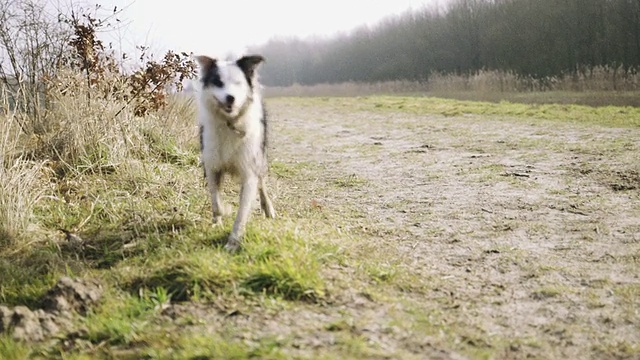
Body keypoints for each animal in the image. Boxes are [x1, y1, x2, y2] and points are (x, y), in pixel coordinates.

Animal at [194, 54, 276, 250]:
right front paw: (220, 215)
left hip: (260, 156)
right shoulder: (212, 165)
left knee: (262, 183)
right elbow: (215, 200)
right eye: (218, 82)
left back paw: (268, 208)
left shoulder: (249, 170)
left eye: (238, 83)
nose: (230, 98)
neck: (229, 122)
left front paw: (233, 242)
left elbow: (243, 210)